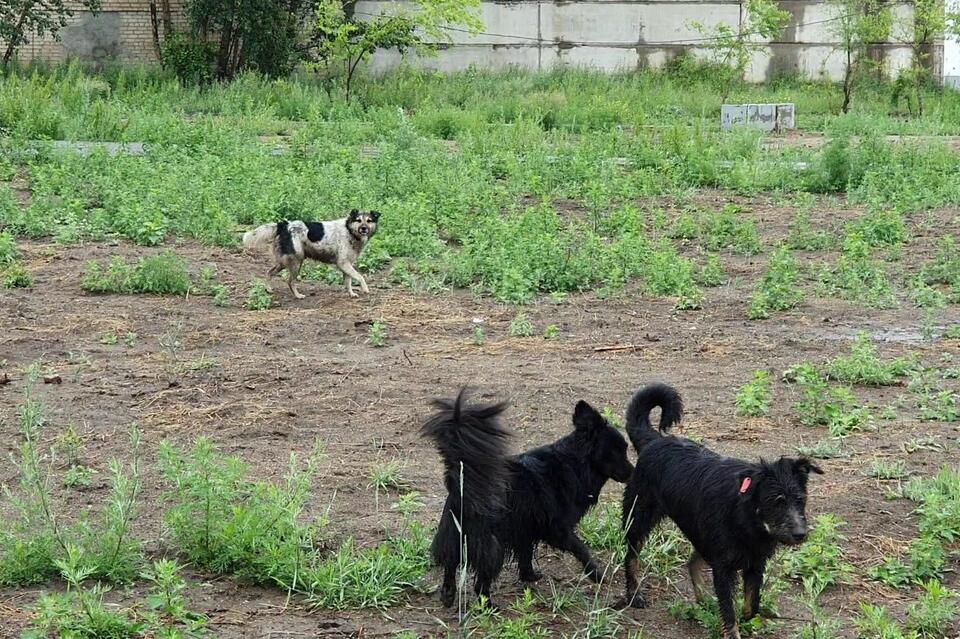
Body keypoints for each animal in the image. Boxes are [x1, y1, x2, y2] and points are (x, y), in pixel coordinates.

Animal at [242, 210, 380, 300]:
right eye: (358, 220)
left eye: (369, 221)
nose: (364, 228)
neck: (349, 231)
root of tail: (284, 225)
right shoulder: (343, 263)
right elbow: (360, 277)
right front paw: (365, 289)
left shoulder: (347, 265)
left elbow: (348, 281)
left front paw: (351, 294)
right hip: (296, 261)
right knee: (290, 281)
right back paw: (298, 295)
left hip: (283, 262)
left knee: (269, 272)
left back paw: (269, 289)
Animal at [422, 390, 632, 608]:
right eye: (617, 451)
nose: (633, 472)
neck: (575, 463)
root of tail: (463, 484)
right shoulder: (557, 529)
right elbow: (581, 548)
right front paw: (596, 574)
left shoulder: (525, 528)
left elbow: (526, 554)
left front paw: (529, 576)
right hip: (492, 544)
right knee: (481, 582)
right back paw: (488, 606)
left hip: (455, 535)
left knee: (450, 565)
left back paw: (448, 595)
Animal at [624, 384, 824, 639]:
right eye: (777, 502)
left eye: (800, 500)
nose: (801, 534)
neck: (750, 521)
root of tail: (654, 441)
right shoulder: (723, 568)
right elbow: (729, 611)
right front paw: (731, 629)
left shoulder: (754, 563)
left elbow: (751, 605)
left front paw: (743, 616)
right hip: (638, 517)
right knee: (631, 556)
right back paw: (634, 594)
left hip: (702, 534)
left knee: (693, 561)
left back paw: (703, 601)